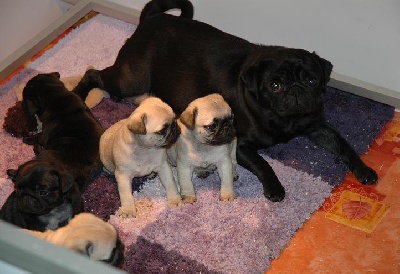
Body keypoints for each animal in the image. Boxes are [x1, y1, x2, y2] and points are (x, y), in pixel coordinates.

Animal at [0, 71, 103, 230]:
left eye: (24, 100)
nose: (23, 107)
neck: (56, 95)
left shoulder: (44, 135)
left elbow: (37, 137)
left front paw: (27, 138)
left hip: (44, 154)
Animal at [72, 0, 378, 201]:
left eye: (313, 81)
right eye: (275, 85)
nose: (295, 91)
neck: (285, 119)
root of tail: (151, 19)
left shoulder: (317, 126)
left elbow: (345, 146)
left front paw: (364, 169)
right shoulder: (241, 144)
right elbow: (263, 164)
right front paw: (274, 187)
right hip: (129, 79)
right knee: (93, 73)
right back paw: (78, 96)